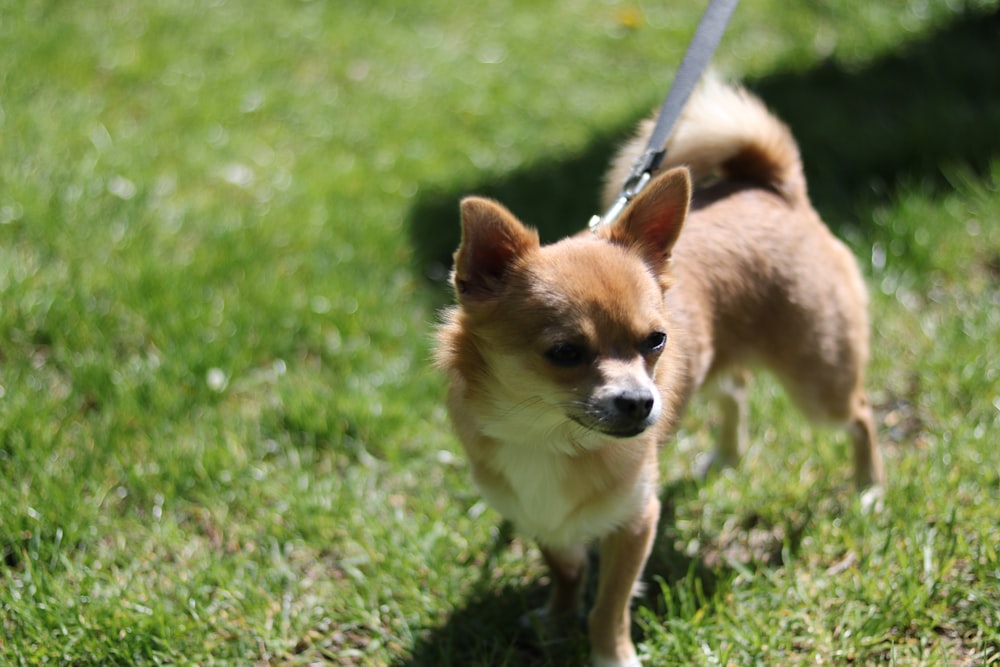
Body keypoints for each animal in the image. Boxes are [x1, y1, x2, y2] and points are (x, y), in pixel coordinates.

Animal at [434, 79, 880, 667]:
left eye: (655, 341)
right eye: (565, 352)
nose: (641, 402)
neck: (548, 437)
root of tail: (772, 187)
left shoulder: (636, 522)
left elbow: (609, 605)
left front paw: (610, 654)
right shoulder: (540, 518)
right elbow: (565, 570)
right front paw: (555, 617)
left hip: (819, 381)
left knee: (861, 415)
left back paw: (868, 489)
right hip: (719, 364)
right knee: (736, 390)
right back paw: (726, 457)